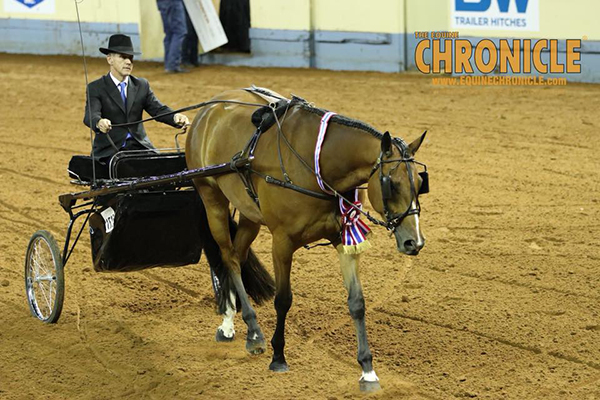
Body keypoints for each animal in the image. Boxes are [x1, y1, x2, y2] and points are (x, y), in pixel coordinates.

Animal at [185, 88, 428, 390]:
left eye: (421, 183)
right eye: (391, 184)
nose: (414, 242)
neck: (318, 164)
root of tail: (210, 108)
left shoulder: (344, 239)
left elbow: (357, 302)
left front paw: (367, 370)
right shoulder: (282, 242)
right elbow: (283, 299)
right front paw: (278, 357)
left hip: (250, 214)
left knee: (238, 257)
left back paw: (233, 324)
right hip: (212, 199)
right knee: (228, 256)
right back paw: (253, 330)